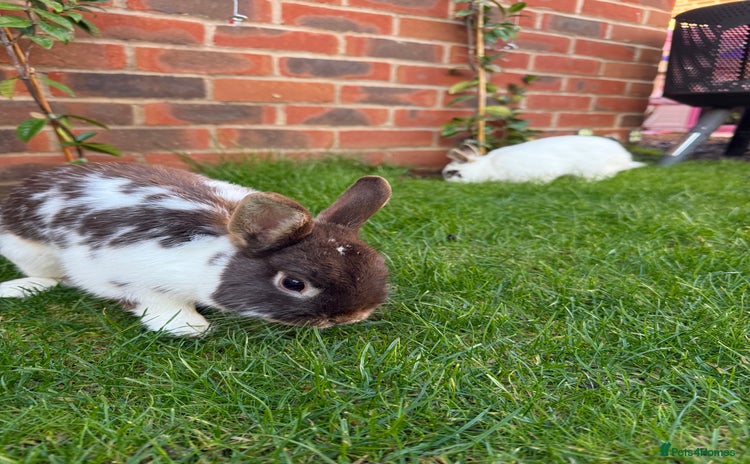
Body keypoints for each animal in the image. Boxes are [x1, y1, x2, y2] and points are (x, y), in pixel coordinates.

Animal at [0, 163, 392, 337]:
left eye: (380, 265)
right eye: (294, 284)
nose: (352, 316)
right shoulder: (134, 280)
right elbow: (158, 304)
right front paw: (190, 326)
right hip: (30, 251)